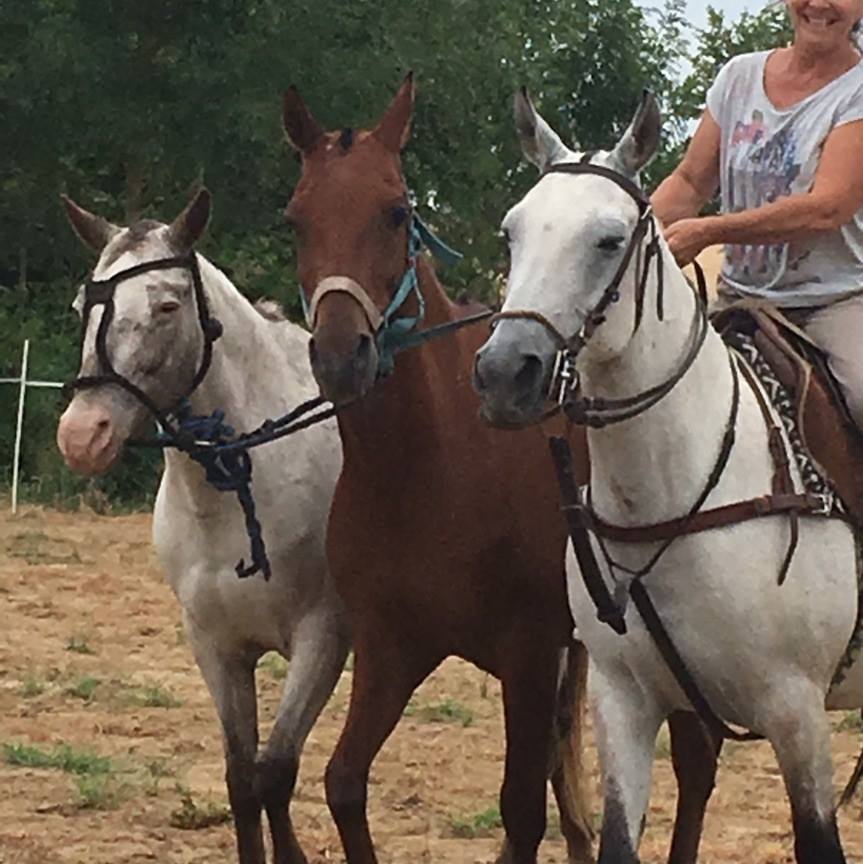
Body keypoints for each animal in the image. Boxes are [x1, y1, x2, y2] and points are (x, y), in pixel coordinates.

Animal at [56, 189, 348, 864]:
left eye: (166, 306)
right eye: (83, 306)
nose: (82, 436)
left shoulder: (323, 638)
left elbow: (276, 771)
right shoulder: (215, 646)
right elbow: (242, 778)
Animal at [279, 73, 717, 864]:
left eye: (395, 212)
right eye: (296, 219)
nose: (339, 355)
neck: (429, 469)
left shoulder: (528, 653)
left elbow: (520, 810)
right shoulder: (390, 647)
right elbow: (343, 783)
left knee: (695, 766)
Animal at [473, 87, 863, 864]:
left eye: (607, 240)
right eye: (511, 233)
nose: (505, 374)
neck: (674, 498)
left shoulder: (797, 712)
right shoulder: (623, 700)